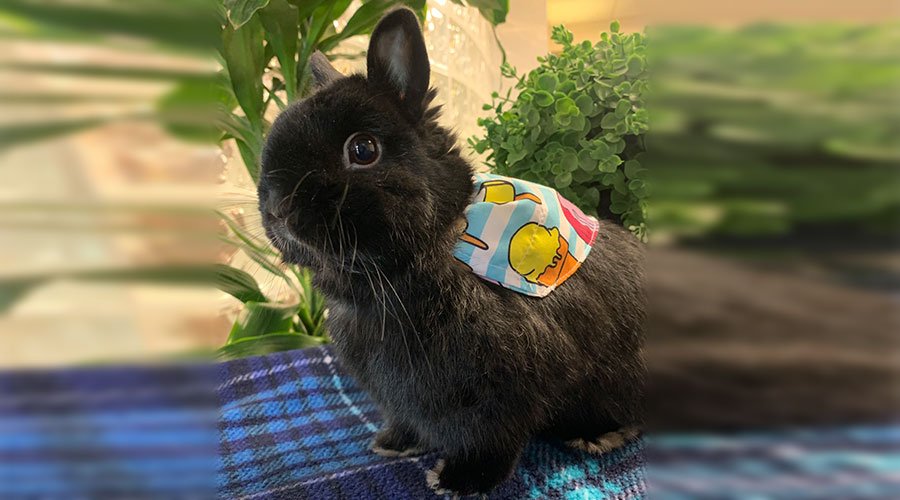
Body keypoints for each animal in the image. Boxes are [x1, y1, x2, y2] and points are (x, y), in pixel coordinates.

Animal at [257, 8, 646, 496]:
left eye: (362, 149)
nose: (278, 209)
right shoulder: (400, 395)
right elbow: (406, 421)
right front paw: (392, 444)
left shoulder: (500, 389)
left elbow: (492, 438)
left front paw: (461, 480)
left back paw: (597, 435)